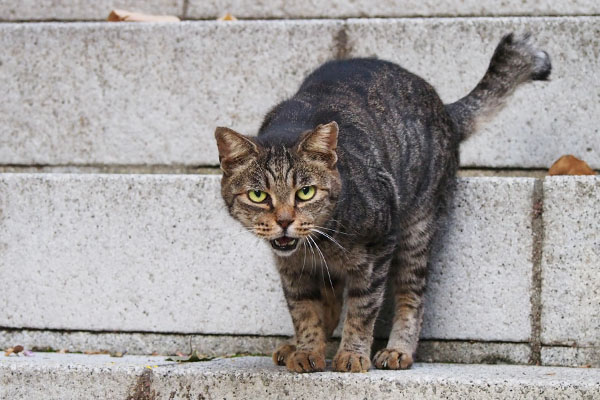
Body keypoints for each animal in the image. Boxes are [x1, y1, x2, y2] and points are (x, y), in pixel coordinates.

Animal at [214, 33, 548, 372]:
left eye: (305, 192)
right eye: (259, 196)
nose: (284, 221)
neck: (321, 244)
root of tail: (444, 108)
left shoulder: (378, 249)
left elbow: (362, 309)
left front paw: (352, 355)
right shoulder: (291, 269)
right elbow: (305, 311)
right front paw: (307, 349)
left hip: (417, 229)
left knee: (411, 295)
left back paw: (398, 350)